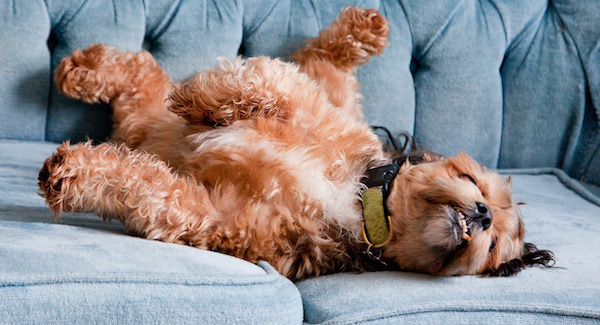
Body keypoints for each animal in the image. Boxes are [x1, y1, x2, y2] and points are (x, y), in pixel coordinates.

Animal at [38, 6, 552, 280]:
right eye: (470, 179)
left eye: (492, 246)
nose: (483, 214)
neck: (358, 201)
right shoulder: (311, 107)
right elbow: (266, 80)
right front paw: (203, 101)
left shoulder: (213, 214)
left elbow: (149, 188)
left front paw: (72, 173)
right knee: (323, 61)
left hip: (138, 117)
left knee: (140, 76)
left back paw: (84, 73)